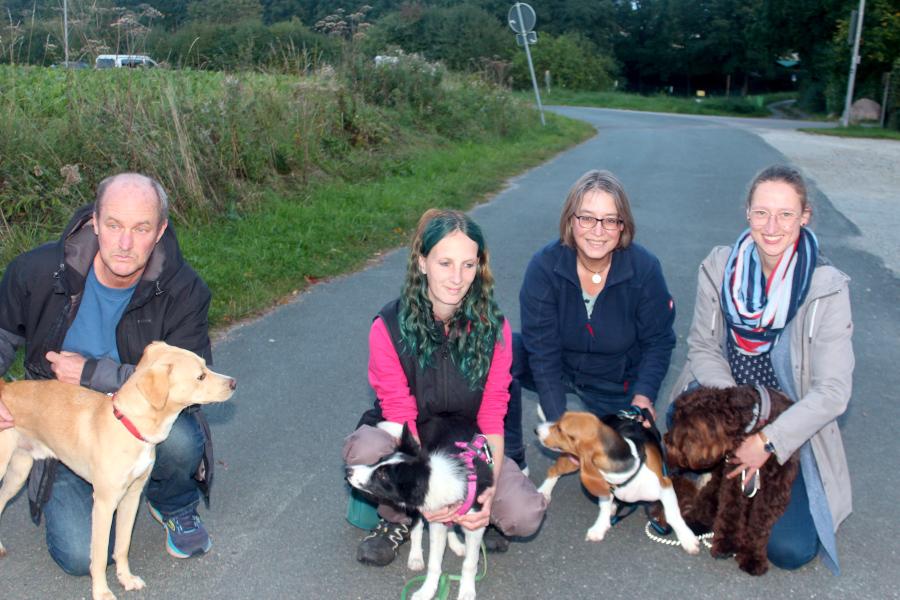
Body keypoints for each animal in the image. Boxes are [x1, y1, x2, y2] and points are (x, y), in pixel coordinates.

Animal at [0, 342, 236, 600]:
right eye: (200, 376)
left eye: (206, 366)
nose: (233, 383)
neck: (130, 426)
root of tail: (4, 388)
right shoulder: (104, 503)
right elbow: (100, 555)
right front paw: (102, 592)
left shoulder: (131, 496)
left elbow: (122, 546)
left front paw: (126, 578)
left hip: (18, 472)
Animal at [536, 412, 696, 552]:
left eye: (559, 429)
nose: (536, 430)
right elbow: (604, 507)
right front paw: (599, 527)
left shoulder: (665, 485)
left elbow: (673, 514)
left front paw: (687, 538)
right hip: (572, 461)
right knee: (553, 471)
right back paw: (544, 492)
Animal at [664, 386, 800, 576]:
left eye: (682, 429)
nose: (666, 439)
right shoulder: (734, 478)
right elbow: (730, 512)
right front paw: (726, 545)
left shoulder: (773, 490)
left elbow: (759, 526)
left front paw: (752, 557)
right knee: (709, 497)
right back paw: (695, 521)